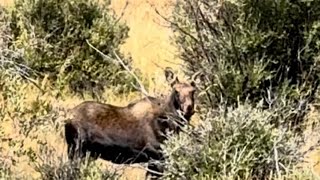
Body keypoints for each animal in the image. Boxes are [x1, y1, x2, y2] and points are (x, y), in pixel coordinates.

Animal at [64, 68, 200, 179]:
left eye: (193, 91)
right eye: (176, 91)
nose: (189, 108)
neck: (171, 123)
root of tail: (67, 118)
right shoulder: (156, 156)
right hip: (77, 150)